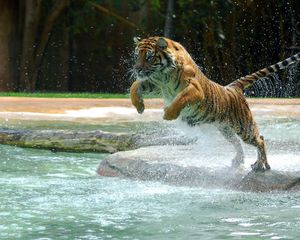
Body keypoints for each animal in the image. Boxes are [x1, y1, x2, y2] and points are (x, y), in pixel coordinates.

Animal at [131, 35, 300, 171]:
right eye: (137, 56)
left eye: (149, 57)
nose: (136, 69)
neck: (163, 75)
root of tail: (233, 87)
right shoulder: (154, 84)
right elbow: (135, 86)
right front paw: (139, 107)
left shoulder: (195, 89)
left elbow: (180, 98)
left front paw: (168, 114)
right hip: (225, 129)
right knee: (237, 143)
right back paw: (238, 161)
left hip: (244, 127)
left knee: (260, 139)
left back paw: (260, 165)